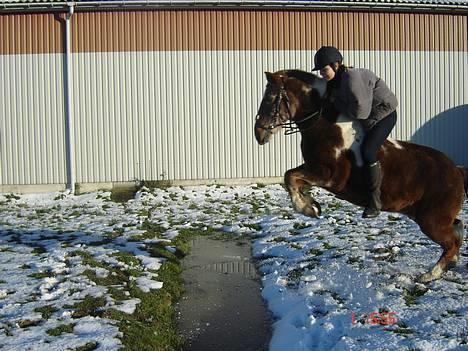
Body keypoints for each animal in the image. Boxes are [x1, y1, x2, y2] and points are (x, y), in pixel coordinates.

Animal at [254, 69, 466, 284]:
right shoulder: (312, 168)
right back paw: (450, 264)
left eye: (270, 98)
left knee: (451, 242)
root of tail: (456, 170)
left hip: (431, 221)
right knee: (457, 229)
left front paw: (308, 209)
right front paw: (311, 204)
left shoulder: (329, 176)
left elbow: (290, 177)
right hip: (424, 215)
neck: (325, 125)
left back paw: (430, 275)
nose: (259, 133)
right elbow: (290, 176)